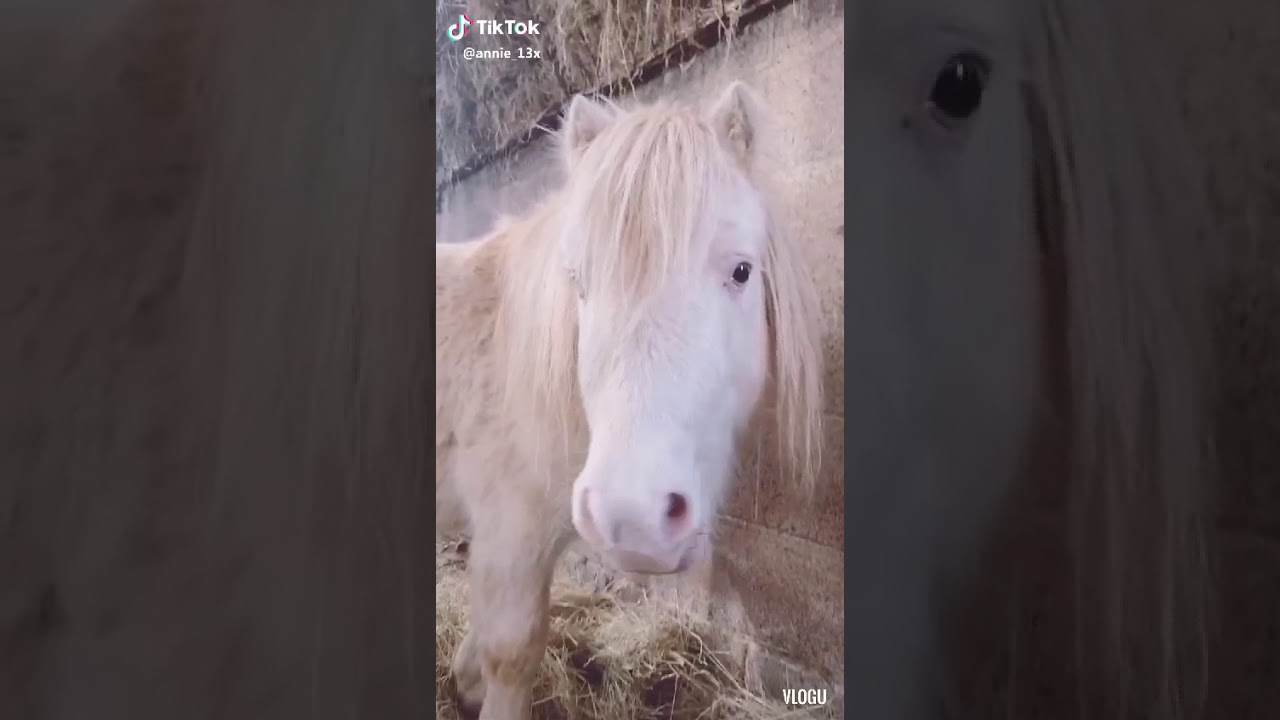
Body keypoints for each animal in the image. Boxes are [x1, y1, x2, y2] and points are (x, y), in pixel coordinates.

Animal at [434, 82, 825, 719]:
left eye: (743, 270)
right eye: (578, 279)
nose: (633, 516)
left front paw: (463, 686)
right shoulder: (508, 529)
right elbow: (512, 652)